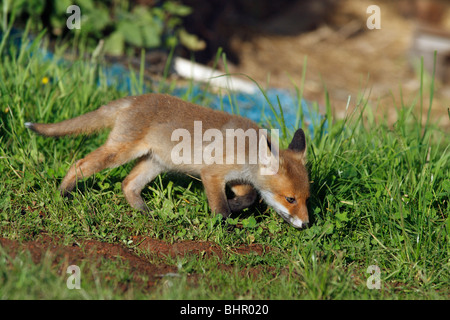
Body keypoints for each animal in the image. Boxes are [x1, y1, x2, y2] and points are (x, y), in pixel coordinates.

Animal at [25, 94, 310, 229]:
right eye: (290, 199)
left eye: (306, 198)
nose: (307, 224)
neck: (246, 149)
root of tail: (137, 98)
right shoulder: (212, 174)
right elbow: (220, 209)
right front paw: (224, 226)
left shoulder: (236, 179)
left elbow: (249, 197)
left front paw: (235, 207)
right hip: (120, 152)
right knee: (79, 165)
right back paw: (63, 193)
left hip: (155, 163)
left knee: (128, 184)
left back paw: (145, 213)